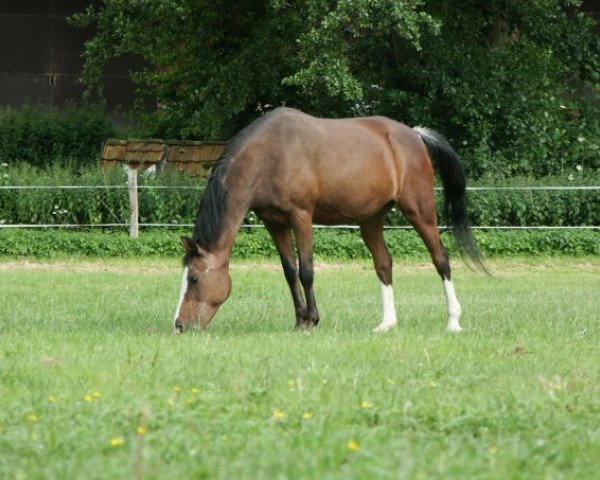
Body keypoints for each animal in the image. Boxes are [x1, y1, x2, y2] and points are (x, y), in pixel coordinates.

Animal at [172, 107, 482, 336]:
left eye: (194, 278)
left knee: (441, 258)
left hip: (420, 210)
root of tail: (416, 135)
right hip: (371, 219)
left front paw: (312, 320)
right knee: (384, 264)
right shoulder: (274, 222)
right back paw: (387, 324)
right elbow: (289, 272)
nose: (180, 326)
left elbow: (306, 271)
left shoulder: (301, 217)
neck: (271, 155)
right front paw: (299, 320)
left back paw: (453, 321)